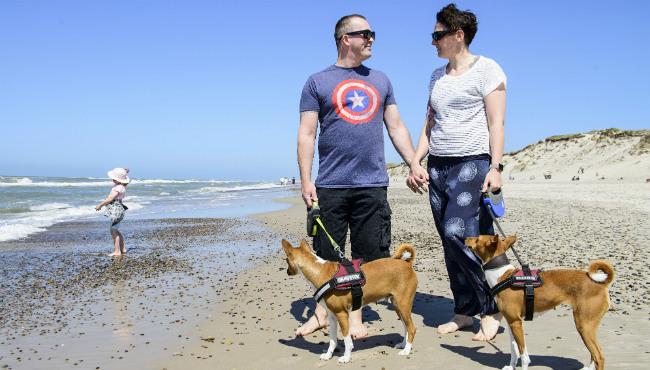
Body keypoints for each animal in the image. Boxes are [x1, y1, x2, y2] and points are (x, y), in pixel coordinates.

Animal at [282, 238, 416, 362]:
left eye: (286, 260)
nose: (287, 272)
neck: (320, 272)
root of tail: (407, 264)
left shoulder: (342, 315)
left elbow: (347, 341)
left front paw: (346, 357)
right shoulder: (332, 316)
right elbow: (332, 340)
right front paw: (328, 355)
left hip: (403, 305)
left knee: (412, 329)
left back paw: (407, 350)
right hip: (397, 306)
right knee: (406, 327)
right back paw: (403, 345)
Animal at [466, 236, 612, 370]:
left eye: (477, 239)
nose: (465, 238)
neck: (502, 276)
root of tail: (600, 283)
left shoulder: (516, 323)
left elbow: (523, 354)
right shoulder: (511, 321)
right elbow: (514, 349)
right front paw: (511, 366)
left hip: (584, 325)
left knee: (599, 356)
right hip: (587, 326)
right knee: (594, 355)